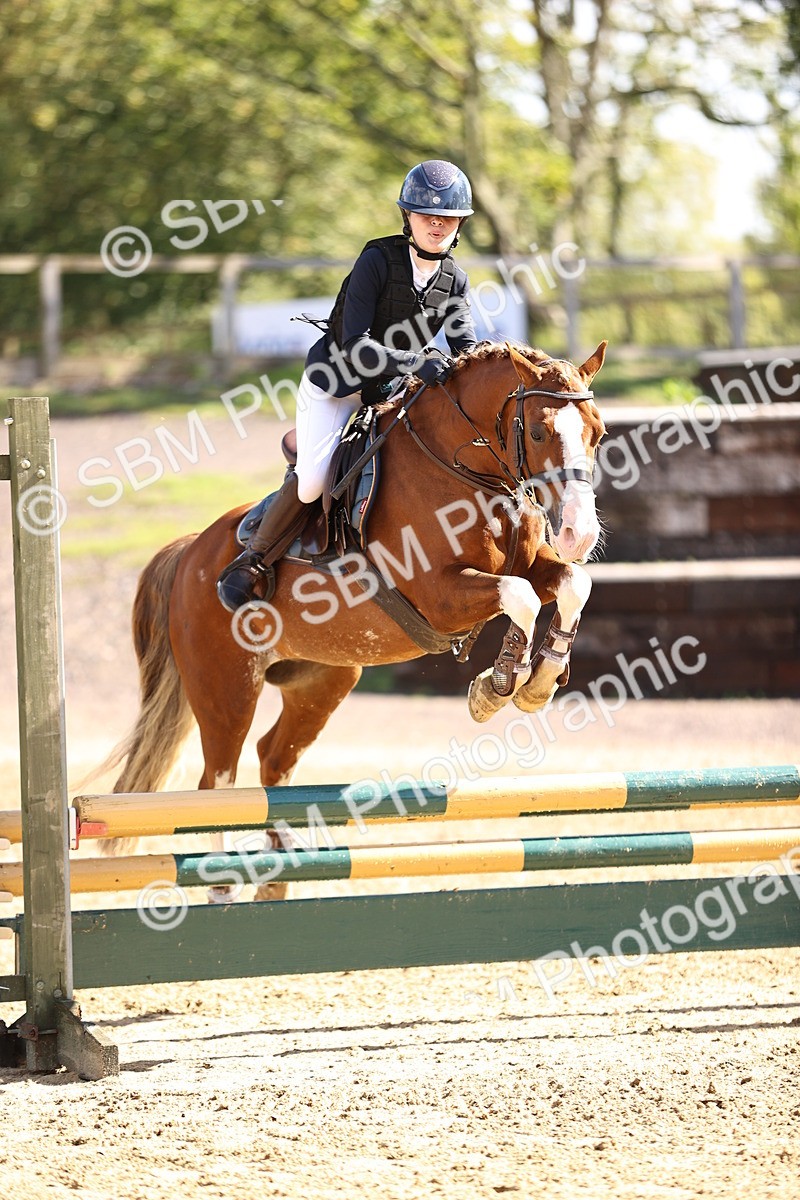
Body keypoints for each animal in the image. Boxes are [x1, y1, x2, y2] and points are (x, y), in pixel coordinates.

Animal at [106, 340, 607, 897]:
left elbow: (570, 585)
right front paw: (497, 686)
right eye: (538, 432)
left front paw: (536, 680)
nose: (580, 534)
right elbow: (520, 597)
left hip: (323, 680)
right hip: (227, 686)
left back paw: (280, 867)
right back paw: (223, 882)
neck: (462, 471)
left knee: (272, 759)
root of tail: (191, 550)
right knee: (217, 778)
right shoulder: (440, 594)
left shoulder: (531, 564)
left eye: (598, 432)